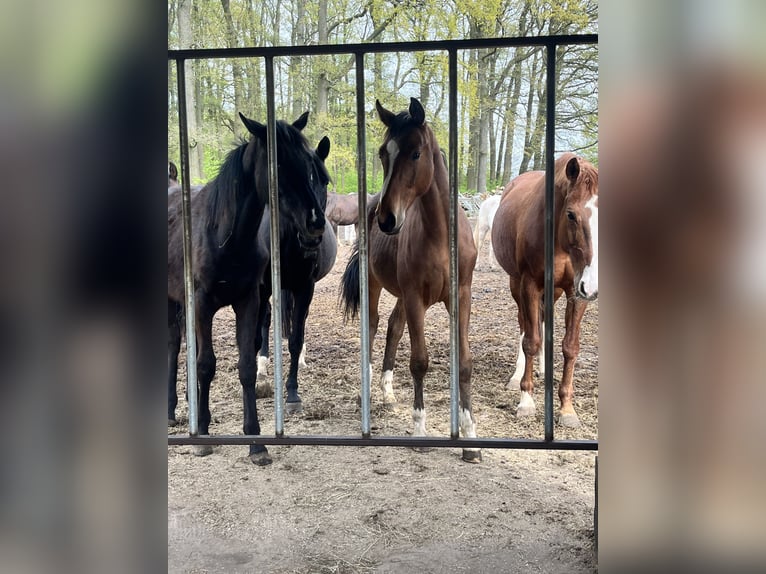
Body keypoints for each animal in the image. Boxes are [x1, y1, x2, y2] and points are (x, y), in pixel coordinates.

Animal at [255, 137, 336, 412]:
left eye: (324, 181)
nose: (312, 237)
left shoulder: (304, 286)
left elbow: (295, 338)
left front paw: (291, 393)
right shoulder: (262, 287)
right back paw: (261, 365)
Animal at [342, 99, 480, 466]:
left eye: (416, 153)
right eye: (382, 153)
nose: (387, 219)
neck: (441, 238)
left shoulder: (460, 297)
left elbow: (463, 364)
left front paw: (470, 438)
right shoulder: (416, 297)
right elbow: (419, 361)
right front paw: (419, 430)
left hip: (403, 296)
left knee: (393, 326)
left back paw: (387, 392)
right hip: (377, 286)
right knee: (373, 325)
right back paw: (367, 390)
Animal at [492, 152, 600, 428]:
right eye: (571, 214)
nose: (594, 286)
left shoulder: (576, 292)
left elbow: (570, 347)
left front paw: (567, 409)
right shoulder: (529, 284)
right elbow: (530, 341)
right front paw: (526, 401)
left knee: (542, 321)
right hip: (516, 284)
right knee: (524, 325)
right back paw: (518, 375)